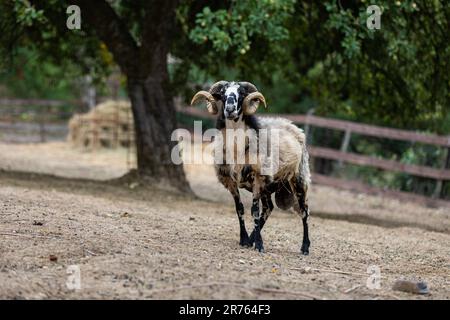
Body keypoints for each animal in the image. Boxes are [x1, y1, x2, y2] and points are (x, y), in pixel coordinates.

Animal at [192, 80, 312, 255]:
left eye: (242, 93)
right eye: (222, 94)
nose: (229, 109)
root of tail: (293, 126)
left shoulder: (258, 177)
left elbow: (254, 211)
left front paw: (260, 245)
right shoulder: (231, 181)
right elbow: (240, 209)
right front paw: (244, 240)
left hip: (298, 178)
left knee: (304, 211)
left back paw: (305, 247)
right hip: (269, 185)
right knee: (268, 208)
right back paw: (251, 239)